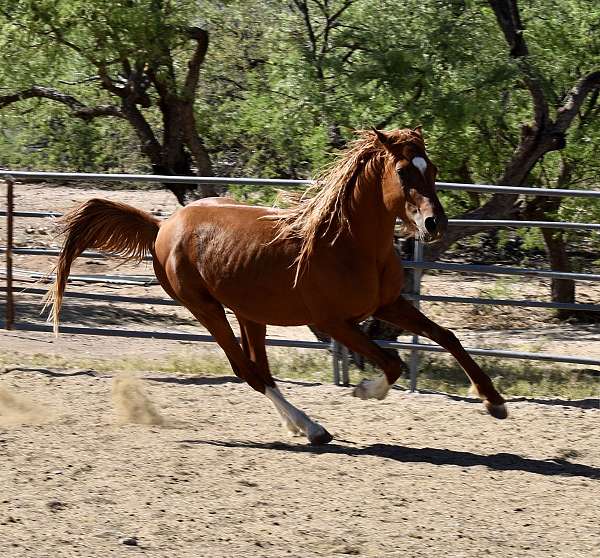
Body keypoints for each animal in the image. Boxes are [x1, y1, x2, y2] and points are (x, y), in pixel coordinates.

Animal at [48, 128, 506, 446]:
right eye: (403, 171)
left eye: (434, 170)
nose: (434, 224)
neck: (347, 244)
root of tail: (162, 226)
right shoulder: (335, 322)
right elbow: (391, 364)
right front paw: (363, 390)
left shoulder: (388, 304)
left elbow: (448, 338)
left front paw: (494, 402)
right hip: (206, 308)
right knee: (248, 371)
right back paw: (313, 428)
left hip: (249, 313)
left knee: (260, 369)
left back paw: (306, 428)